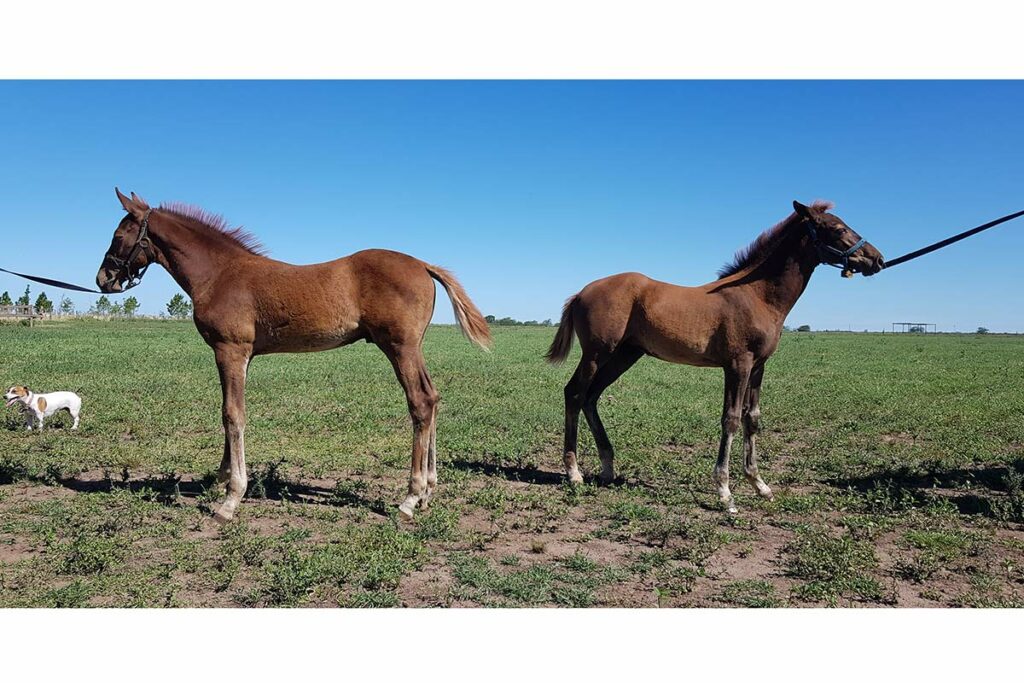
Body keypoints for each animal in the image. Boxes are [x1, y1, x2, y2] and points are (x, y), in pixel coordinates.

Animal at [96, 189, 491, 520]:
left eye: (118, 236)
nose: (103, 279)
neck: (220, 274)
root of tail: (423, 264)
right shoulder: (240, 357)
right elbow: (229, 412)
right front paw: (221, 476)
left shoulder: (229, 350)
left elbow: (232, 415)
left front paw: (231, 499)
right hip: (412, 349)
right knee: (433, 397)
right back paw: (428, 491)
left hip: (400, 347)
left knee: (420, 402)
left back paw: (410, 497)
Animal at [548, 200, 884, 509]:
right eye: (837, 228)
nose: (876, 258)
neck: (757, 295)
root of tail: (580, 293)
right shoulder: (738, 364)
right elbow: (731, 419)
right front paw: (725, 492)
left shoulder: (759, 366)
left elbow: (752, 419)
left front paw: (760, 484)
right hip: (597, 353)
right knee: (575, 393)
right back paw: (574, 472)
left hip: (625, 355)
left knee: (591, 397)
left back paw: (606, 467)